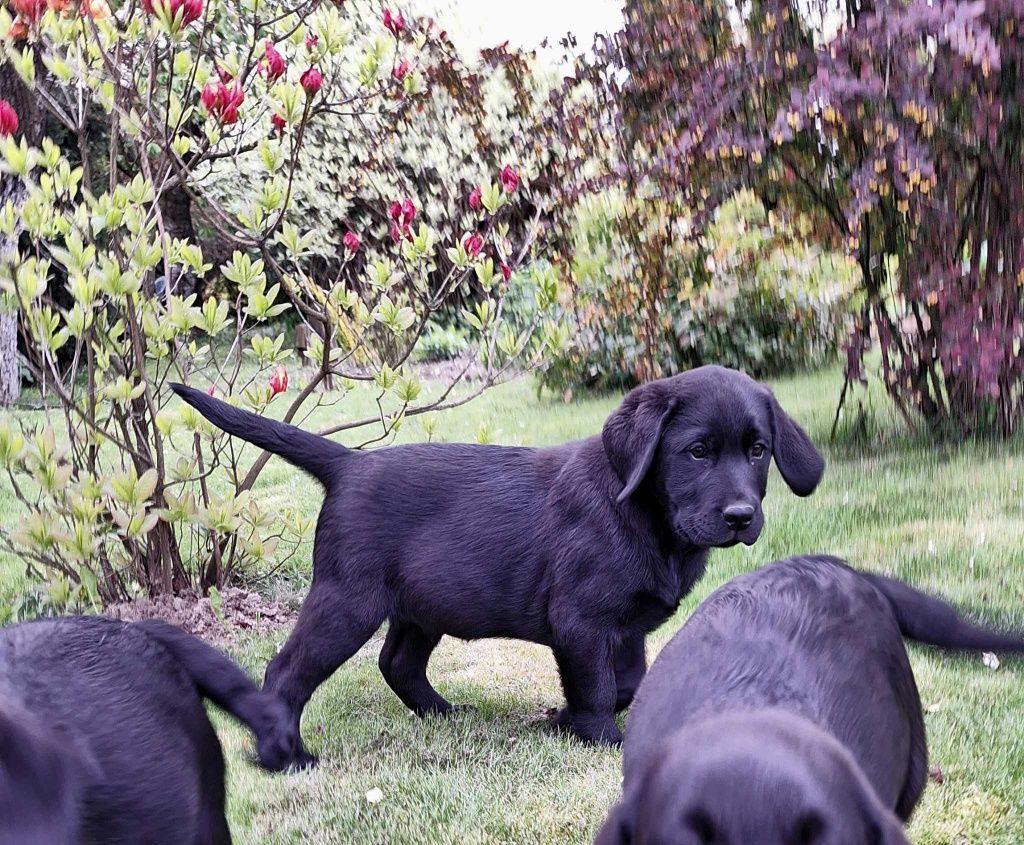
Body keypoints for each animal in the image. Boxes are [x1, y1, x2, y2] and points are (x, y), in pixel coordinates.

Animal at [169, 364, 823, 757]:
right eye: (696, 452)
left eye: (758, 450)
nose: (740, 516)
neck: (644, 516)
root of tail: (349, 463)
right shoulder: (581, 621)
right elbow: (596, 687)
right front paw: (599, 737)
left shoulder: (628, 628)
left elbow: (627, 682)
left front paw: (562, 720)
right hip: (346, 598)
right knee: (286, 672)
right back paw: (290, 756)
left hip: (422, 603)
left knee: (397, 663)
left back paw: (442, 714)